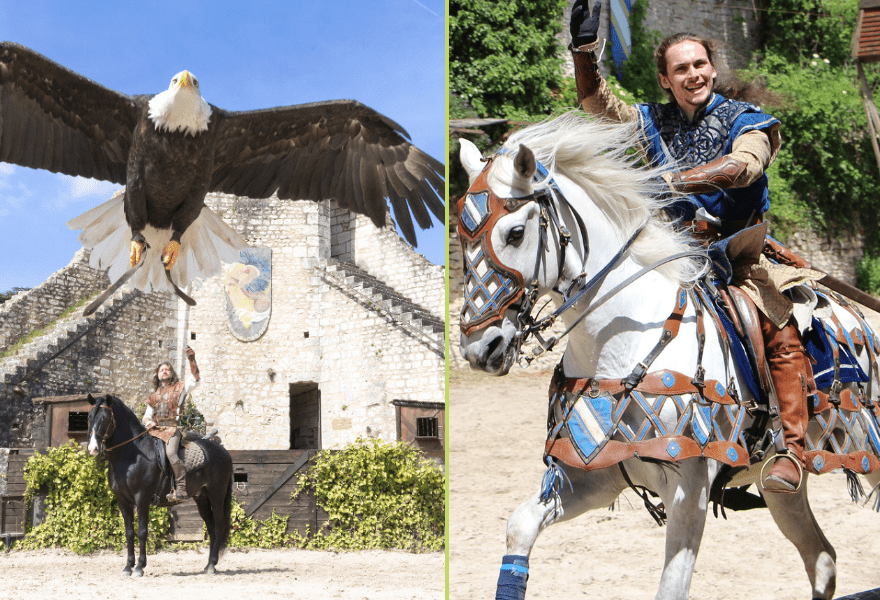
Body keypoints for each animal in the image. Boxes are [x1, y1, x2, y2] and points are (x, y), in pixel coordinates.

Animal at [87, 394, 234, 576]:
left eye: (106, 417)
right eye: (89, 417)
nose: (93, 449)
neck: (131, 456)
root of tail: (224, 452)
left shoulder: (142, 498)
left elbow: (142, 532)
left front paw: (139, 567)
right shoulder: (122, 501)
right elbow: (129, 533)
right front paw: (128, 567)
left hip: (216, 495)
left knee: (219, 524)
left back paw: (213, 565)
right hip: (202, 498)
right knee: (211, 526)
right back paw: (208, 565)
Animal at [454, 112, 880, 600]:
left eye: (516, 233)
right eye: (462, 240)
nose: (479, 348)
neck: (622, 344)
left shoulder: (689, 489)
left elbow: (671, 586)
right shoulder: (597, 477)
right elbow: (520, 526)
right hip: (780, 489)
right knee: (821, 559)